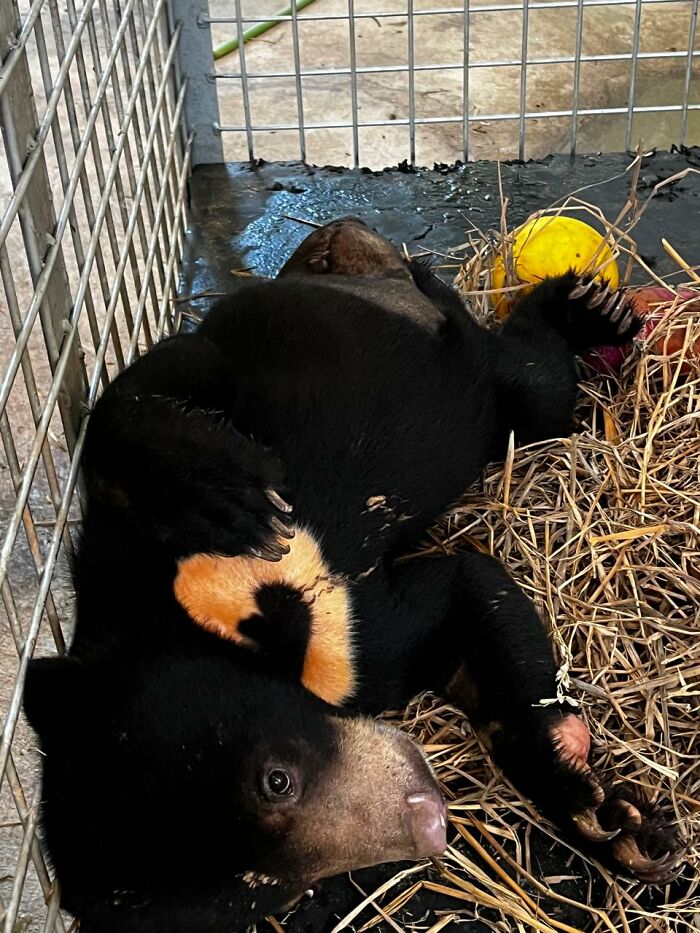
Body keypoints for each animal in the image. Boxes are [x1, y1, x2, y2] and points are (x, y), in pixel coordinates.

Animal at [23, 218, 678, 933]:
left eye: (277, 778)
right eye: (274, 893)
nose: (429, 824)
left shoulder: (327, 632)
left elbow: (462, 591)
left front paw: (610, 823)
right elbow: (462, 623)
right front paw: (606, 816)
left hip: (464, 374)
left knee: (539, 382)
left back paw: (587, 308)